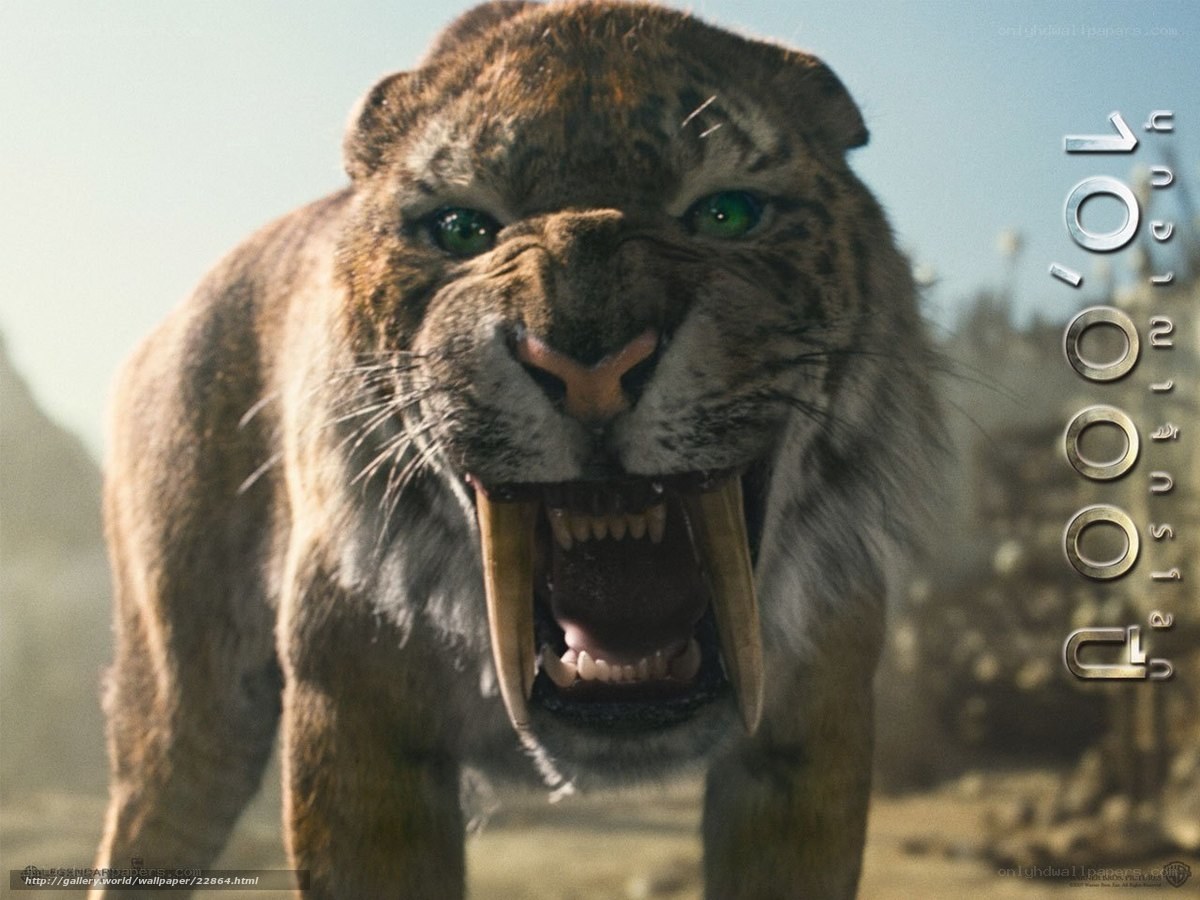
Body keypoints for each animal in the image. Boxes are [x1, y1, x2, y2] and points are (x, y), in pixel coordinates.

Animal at [93, 2, 939, 897]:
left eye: (727, 214)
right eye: (463, 229)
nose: (591, 363)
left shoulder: (807, 735)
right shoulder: (355, 719)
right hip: (187, 718)